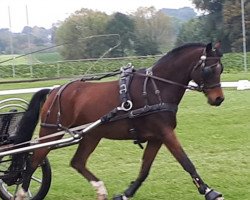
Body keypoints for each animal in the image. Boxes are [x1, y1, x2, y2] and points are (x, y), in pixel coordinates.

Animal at [14, 41, 225, 198]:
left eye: (221, 68)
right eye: (208, 69)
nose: (218, 99)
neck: (155, 88)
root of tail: (55, 89)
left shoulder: (157, 137)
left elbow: (145, 169)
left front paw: (126, 193)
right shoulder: (165, 133)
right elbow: (185, 161)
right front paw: (209, 191)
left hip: (91, 135)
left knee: (77, 162)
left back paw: (100, 189)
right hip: (50, 132)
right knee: (32, 162)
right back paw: (22, 193)